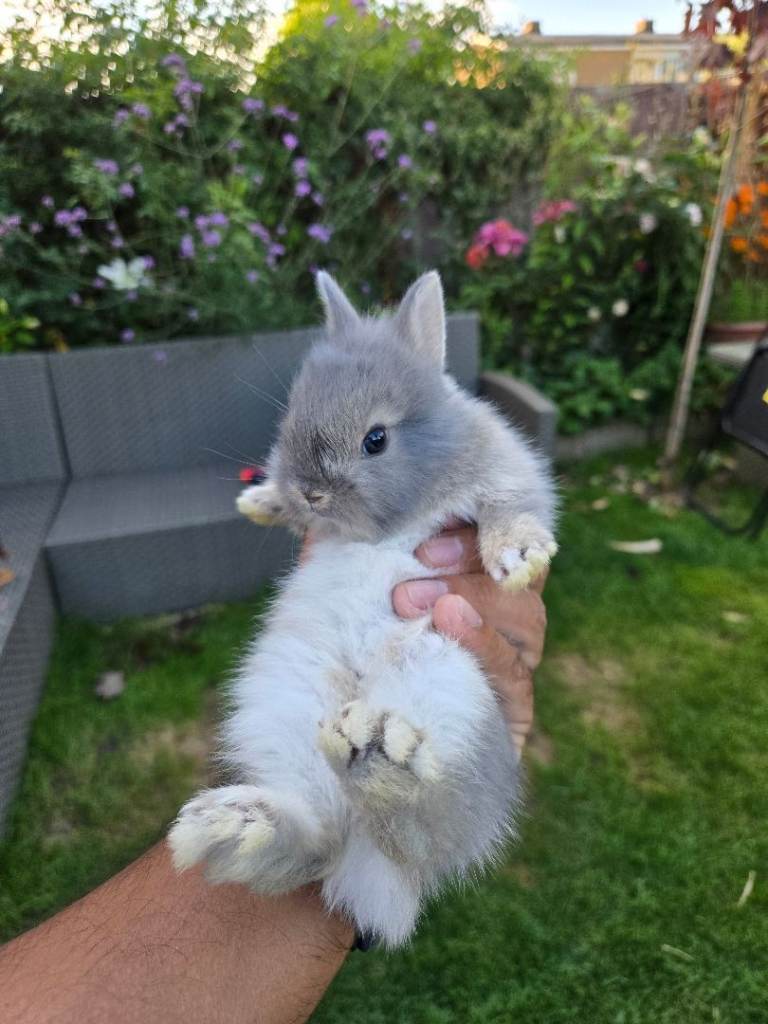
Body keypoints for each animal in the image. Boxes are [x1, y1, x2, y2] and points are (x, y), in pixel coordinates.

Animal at [168, 271, 557, 947]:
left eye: (375, 440)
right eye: (292, 418)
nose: (310, 491)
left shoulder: (507, 474)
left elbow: (511, 507)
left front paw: (519, 559)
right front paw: (260, 501)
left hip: (453, 695)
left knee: (423, 831)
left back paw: (376, 759)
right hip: (285, 711)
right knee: (320, 838)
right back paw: (238, 827)